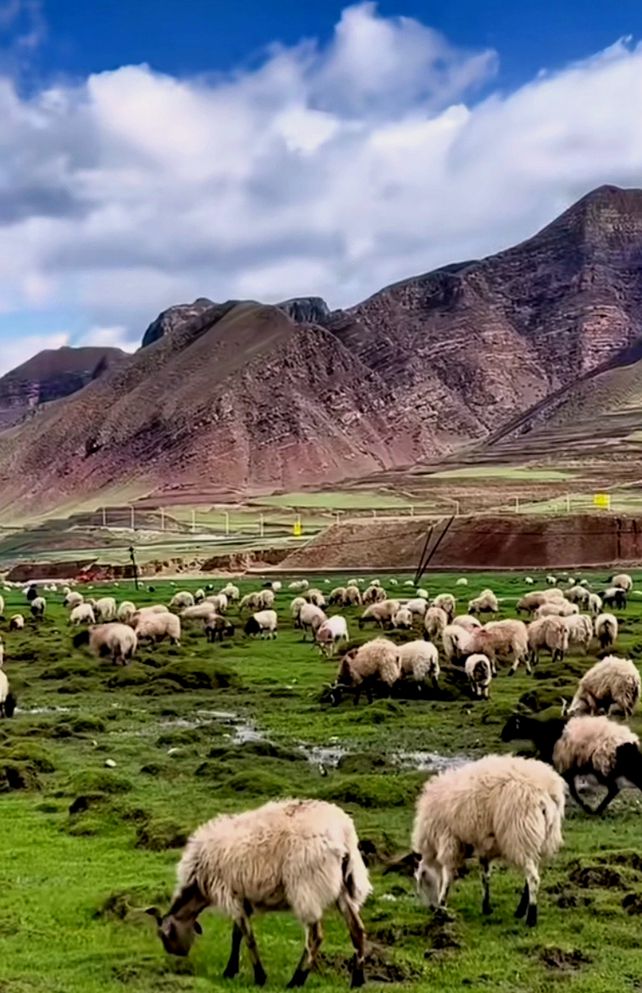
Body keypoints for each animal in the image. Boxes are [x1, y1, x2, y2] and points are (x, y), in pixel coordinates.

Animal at [149, 796, 370, 988]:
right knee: (357, 930)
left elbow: (249, 939)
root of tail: (343, 833)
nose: (179, 956)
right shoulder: (242, 898)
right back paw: (357, 981)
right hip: (344, 887)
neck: (198, 886)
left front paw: (259, 977)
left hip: (306, 888)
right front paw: (231, 971)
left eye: (166, 937)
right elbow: (237, 935)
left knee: (315, 938)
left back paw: (296, 981)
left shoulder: (231, 896)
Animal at [412, 756, 564, 928]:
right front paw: (486, 907)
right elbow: (485, 877)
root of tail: (544, 793)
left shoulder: (450, 841)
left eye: (422, 882)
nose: (430, 908)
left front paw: (442, 906)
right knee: (531, 876)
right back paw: (520, 911)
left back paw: (531, 918)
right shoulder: (482, 846)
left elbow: (448, 877)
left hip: (519, 836)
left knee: (533, 879)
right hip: (538, 840)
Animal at [500, 712, 640, 812]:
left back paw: (596, 811)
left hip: (602, 766)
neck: (541, 732)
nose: (502, 737)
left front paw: (584, 806)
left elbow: (571, 789)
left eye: (510, 725)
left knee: (614, 788)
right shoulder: (567, 766)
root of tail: (630, 743)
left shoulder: (561, 764)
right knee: (617, 788)